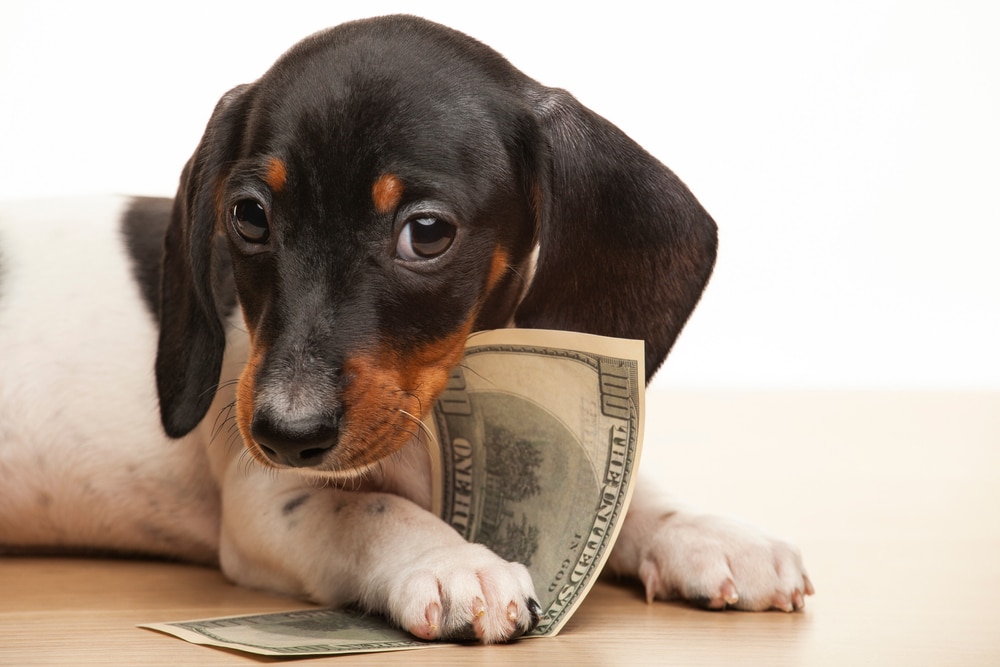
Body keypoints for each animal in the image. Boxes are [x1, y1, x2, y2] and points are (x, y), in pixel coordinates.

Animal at [0, 14, 812, 640]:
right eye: (249, 215)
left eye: (426, 233)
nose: (285, 433)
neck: (438, 407)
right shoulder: (263, 502)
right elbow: (369, 511)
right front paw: (455, 562)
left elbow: (642, 496)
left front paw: (703, 530)